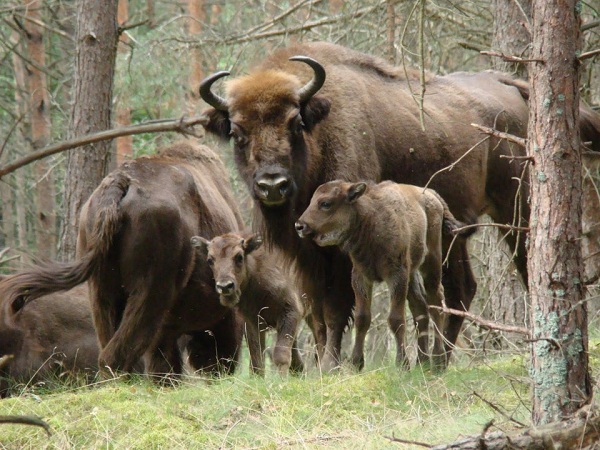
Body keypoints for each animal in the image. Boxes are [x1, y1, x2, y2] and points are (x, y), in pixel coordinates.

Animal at [200, 41, 600, 370]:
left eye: (295, 123)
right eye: (236, 132)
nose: (272, 185)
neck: (321, 133)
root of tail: (513, 88)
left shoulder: (344, 255)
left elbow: (337, 309)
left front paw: (332, 365)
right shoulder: (307, 257)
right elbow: (317, 313)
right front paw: (323, 364)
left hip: (515, 209)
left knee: (525, 269)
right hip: (451, 235)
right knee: (460, 289)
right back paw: (438, 361)